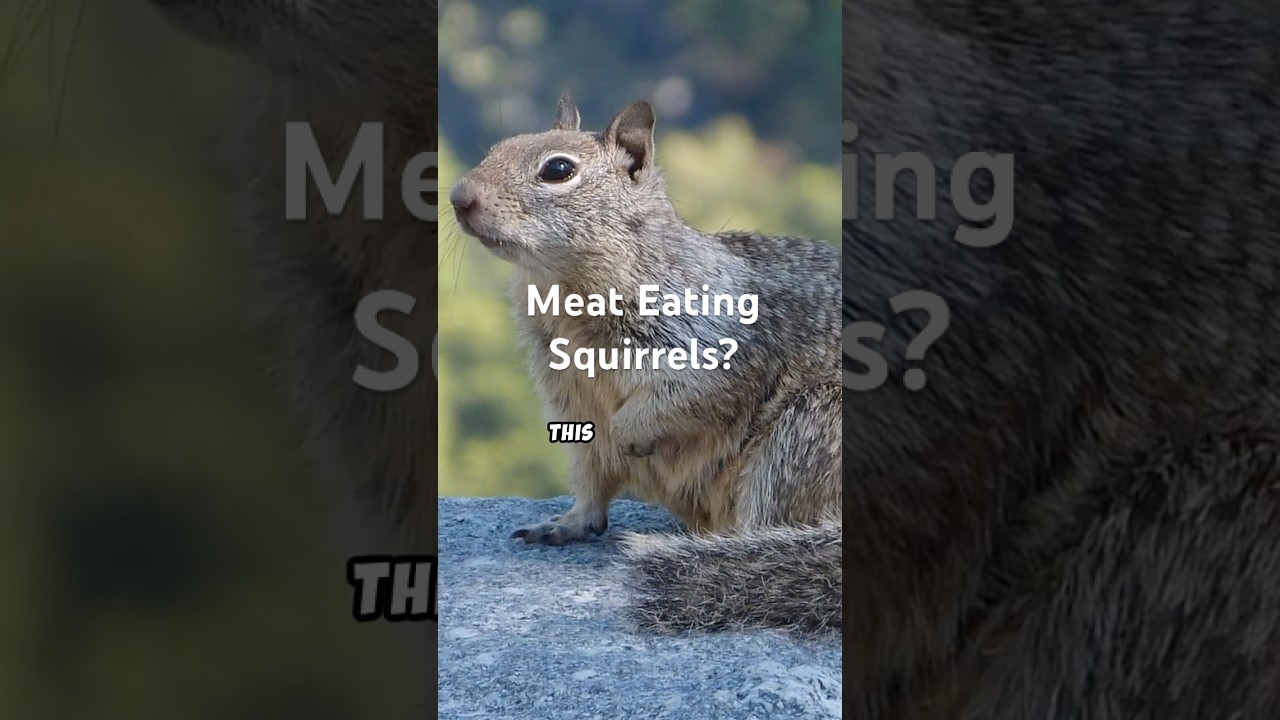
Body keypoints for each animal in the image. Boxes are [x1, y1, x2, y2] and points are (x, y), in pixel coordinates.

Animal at [448, 94, 843, 630]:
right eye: (497, 147)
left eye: (558, 170)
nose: (459, 196)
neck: (565, 290)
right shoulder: (569, 400)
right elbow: (590, 476)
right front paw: (568, 522)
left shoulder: (715, 348)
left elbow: (682, 400)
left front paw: (632, 436)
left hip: (806, 432)